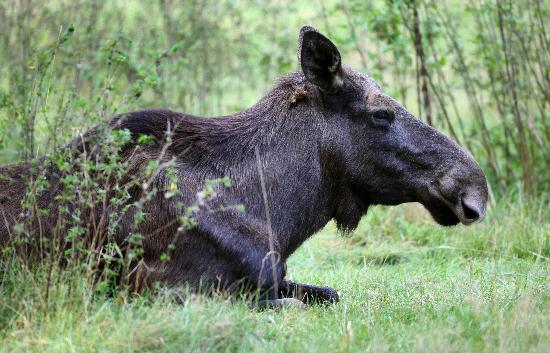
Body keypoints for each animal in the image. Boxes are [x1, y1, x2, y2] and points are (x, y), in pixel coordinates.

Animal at [0, 26, 490, 308]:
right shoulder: (173, 293)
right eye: (382, 114)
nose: (475, 190)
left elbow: (330, 294)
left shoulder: (280, 280)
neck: (280, 216)